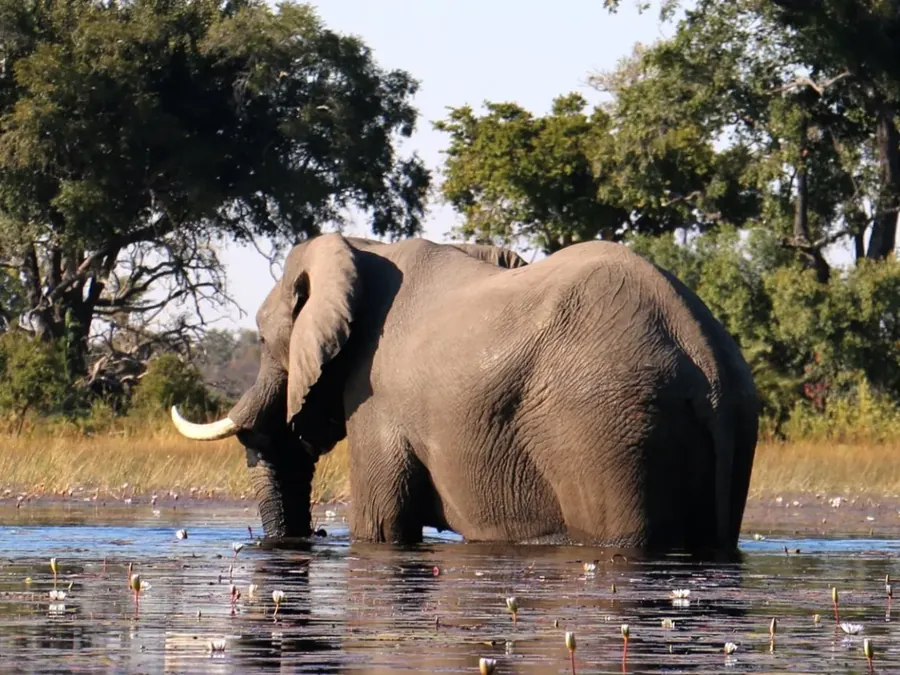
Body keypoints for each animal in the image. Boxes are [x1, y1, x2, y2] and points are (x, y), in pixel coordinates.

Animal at [172, 234, 758, 553]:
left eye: (262, 338)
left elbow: (380, 527)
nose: (307, 538)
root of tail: (706, 360)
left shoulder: (375, 398)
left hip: (608, 429)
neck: (364, 249)